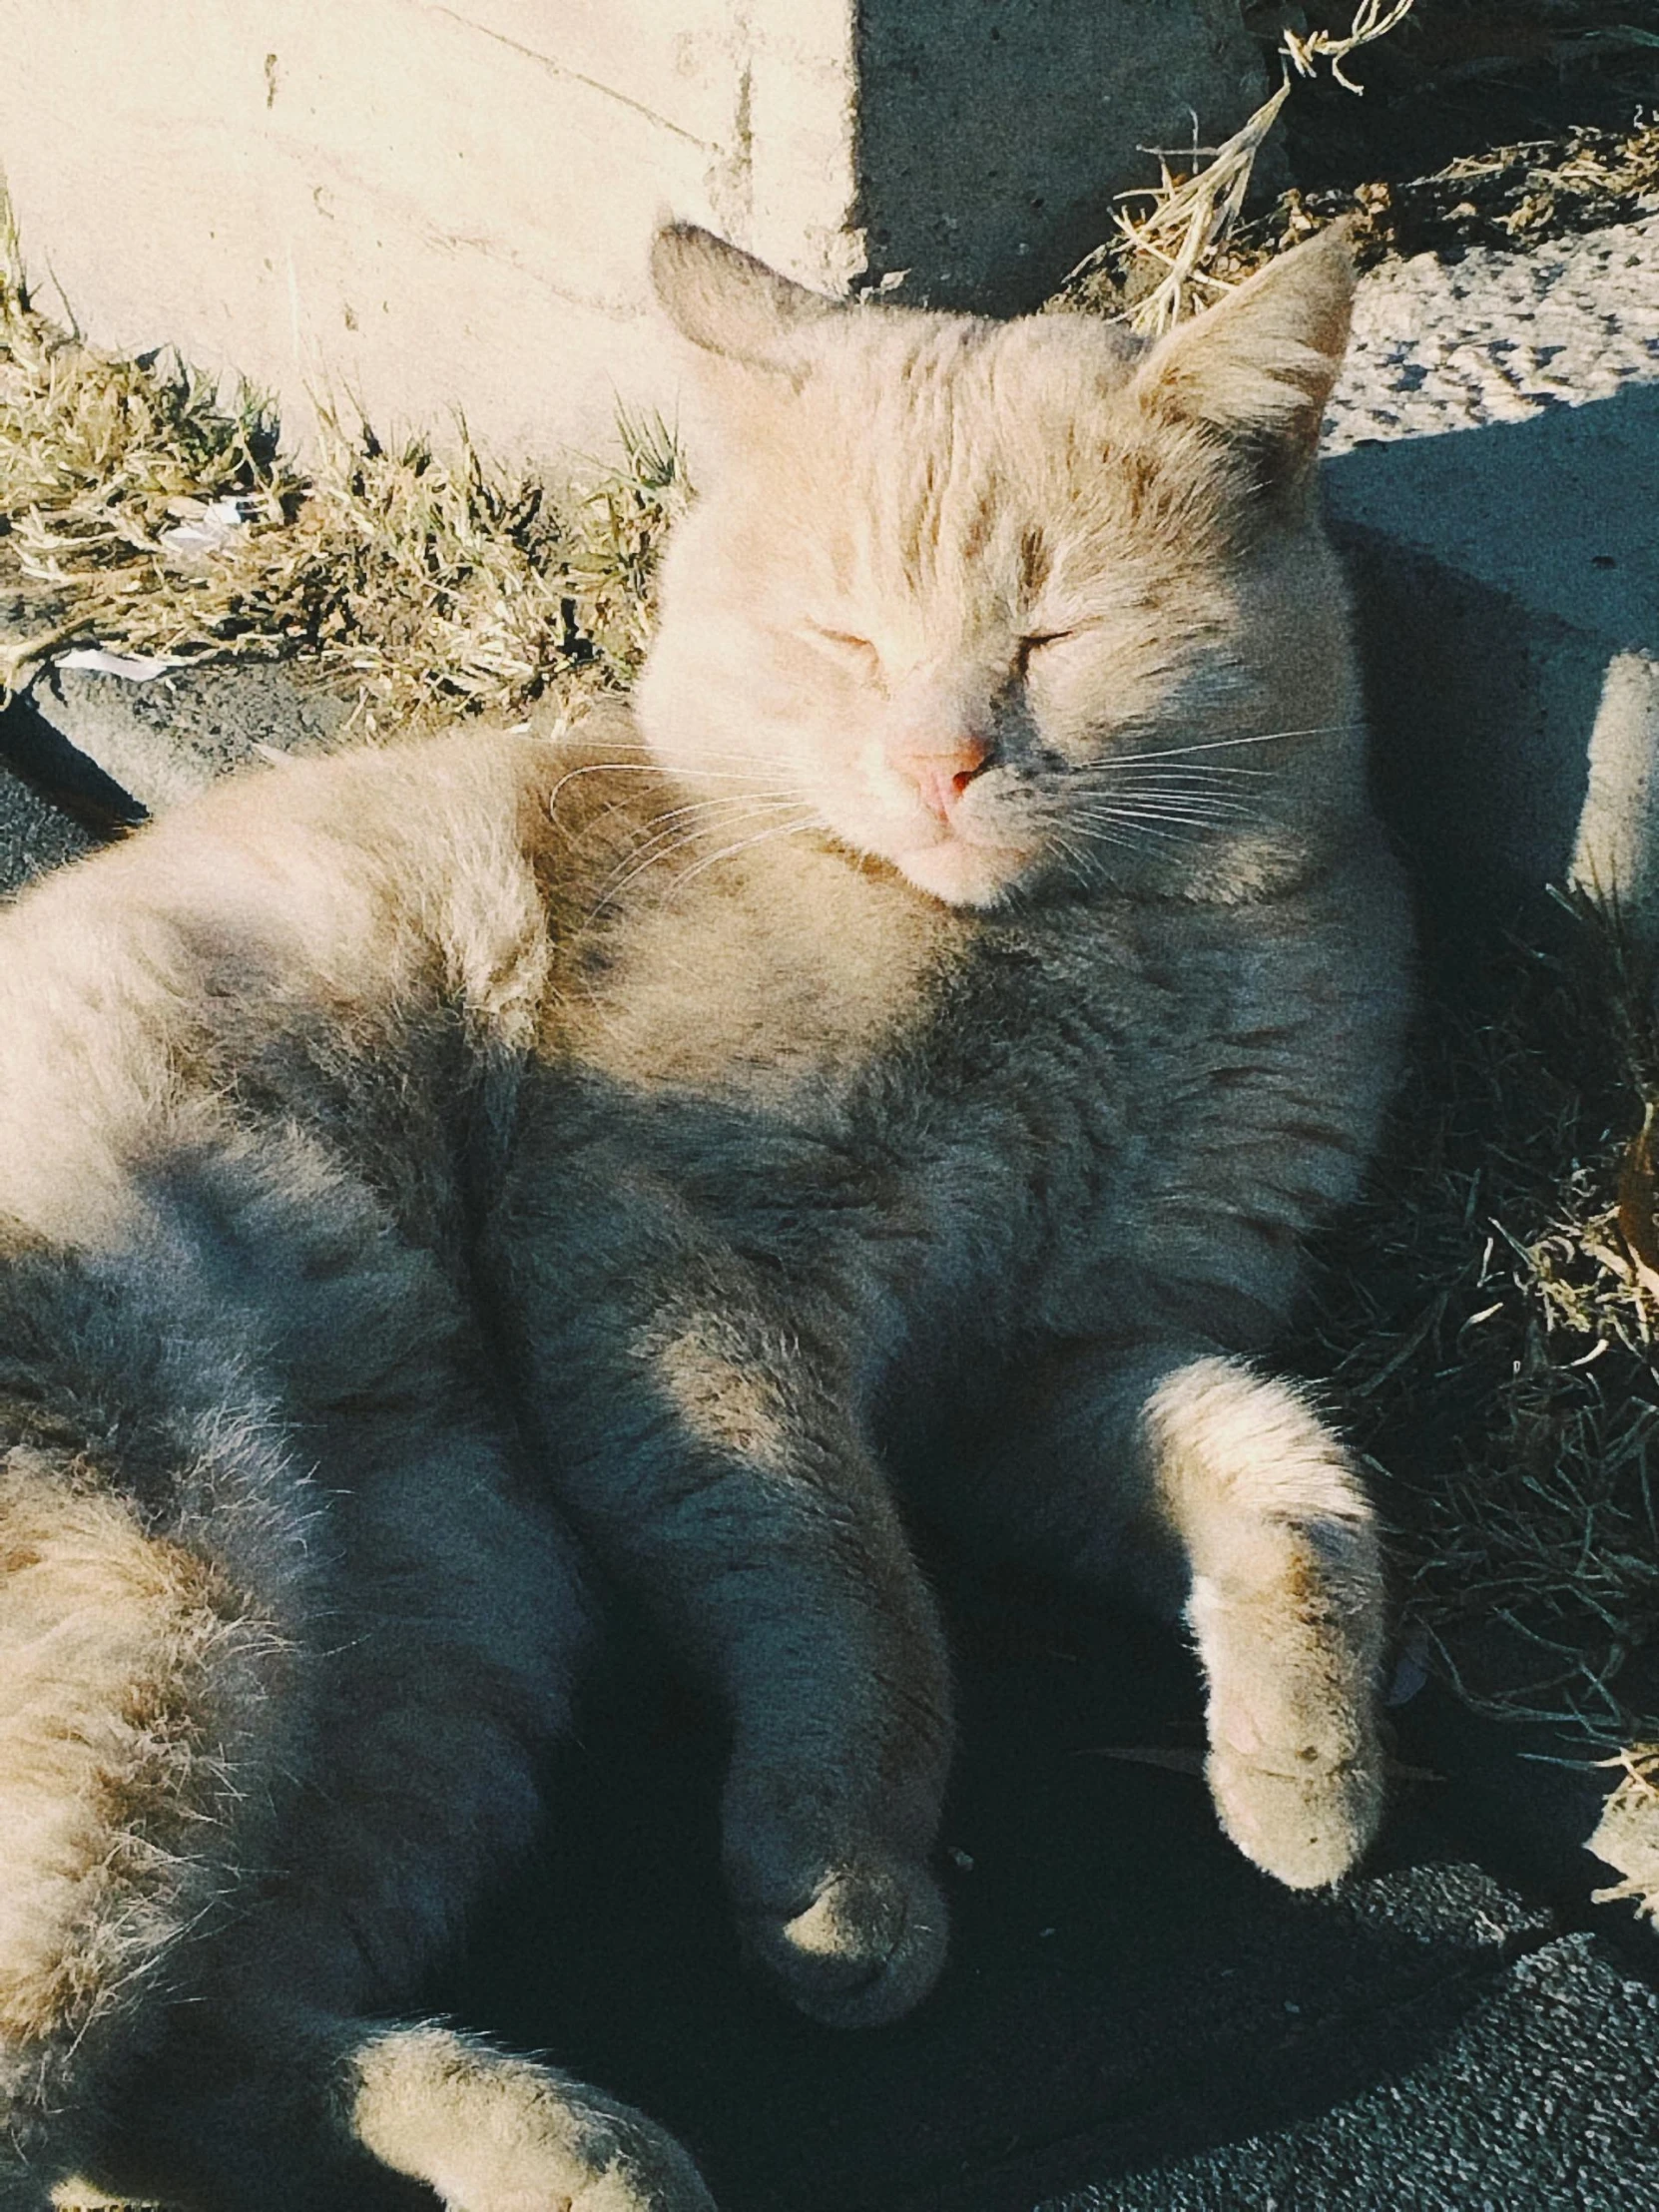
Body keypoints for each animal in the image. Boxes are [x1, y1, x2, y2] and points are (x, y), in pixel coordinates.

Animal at [0, 216, 1415, 2203]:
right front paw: (842, 1875)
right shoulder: (669, 1267)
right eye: (843, 636)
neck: (1092, 973)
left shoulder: (1052, 1373)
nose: (942, 764)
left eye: (1057, 635)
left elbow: (1288, 1474)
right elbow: (845, 1585)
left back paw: (559, 2147)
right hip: (176, 1573)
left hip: (426, 1633)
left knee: (172, 2058)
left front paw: (1305, 1765)